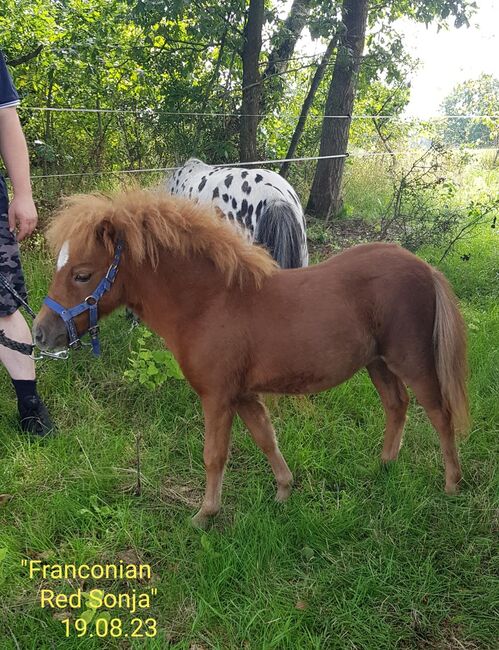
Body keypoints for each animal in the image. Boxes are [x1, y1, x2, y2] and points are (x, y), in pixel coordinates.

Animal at [33, 187, 470, 528]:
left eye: (82, 275)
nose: (40, 334)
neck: (210, 302)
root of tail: (425, 268)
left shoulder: (217, 397)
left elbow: (214, 455)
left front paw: (204, 515)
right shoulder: (243, 395)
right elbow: (266, 439)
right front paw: (283, 492)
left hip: (413, 361)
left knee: (439, 413)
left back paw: (452, 484)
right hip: (376, 363)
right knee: (397, 405)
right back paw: (384, 466)